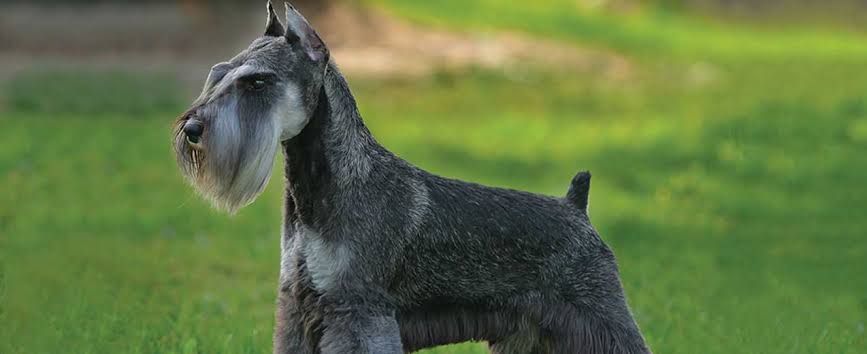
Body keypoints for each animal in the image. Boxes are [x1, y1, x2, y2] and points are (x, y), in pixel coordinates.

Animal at [173, 1, 652, 352]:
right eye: (218, 73)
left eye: (257, 82)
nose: (192, 130)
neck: (326, 187)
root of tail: (576, 206)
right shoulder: (299, 308)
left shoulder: (358, 309)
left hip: (598, 314)